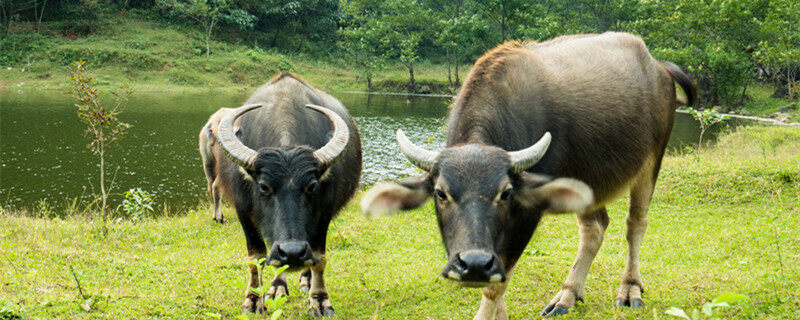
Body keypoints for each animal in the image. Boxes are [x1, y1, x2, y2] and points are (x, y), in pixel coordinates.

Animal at [203, 74, 362, 316]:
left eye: (312, 186)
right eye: (263, 187)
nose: (293, 252)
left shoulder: (324, 213)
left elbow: (319, 258)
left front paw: (320, 300)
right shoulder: (244, 211)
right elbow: (256, 258)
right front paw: (254, 299)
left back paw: (305, 280)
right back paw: (277, 288)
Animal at [360, 32, 696, 318]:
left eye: (506, 193)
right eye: (440, 193)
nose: (473, 265)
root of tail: (658, 67)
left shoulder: (526, 215)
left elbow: (495, 285)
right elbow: (498, 282)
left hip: (652, 161)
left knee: (635, 224)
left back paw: (629, 290)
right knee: (595, 228)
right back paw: (567, 296)